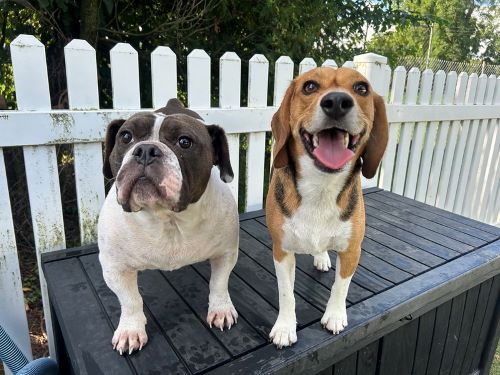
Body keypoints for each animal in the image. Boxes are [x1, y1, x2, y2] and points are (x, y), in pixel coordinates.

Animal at [98, 99, 239, 356]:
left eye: (184, 142)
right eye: (126, 136)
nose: (146, 150)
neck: (167, 219)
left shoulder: (225, 254)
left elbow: (219, 283)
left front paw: (221, 309)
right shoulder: (115, 268)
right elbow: (130, 300)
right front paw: (131, 330)